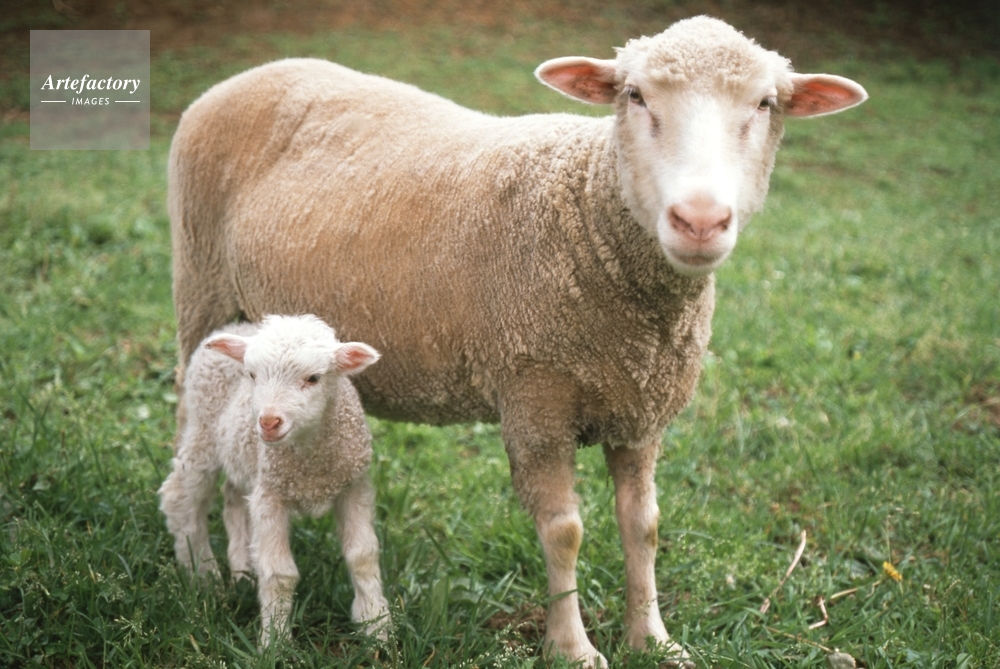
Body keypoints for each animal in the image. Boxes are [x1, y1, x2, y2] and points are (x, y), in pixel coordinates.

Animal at [158, 314, 391, 645]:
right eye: (252, 375)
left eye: (314, 378)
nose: (268, 422)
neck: (312, 462)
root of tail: (234, 328)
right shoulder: (271, 494)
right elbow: (280, 573)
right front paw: (275, 643)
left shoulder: (353, 485)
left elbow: (363, 555)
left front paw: (376, 627)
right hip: (203, 433)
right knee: (180, 497)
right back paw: (203, 576)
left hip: (243, 457)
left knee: (233, 499)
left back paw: (241, 570)